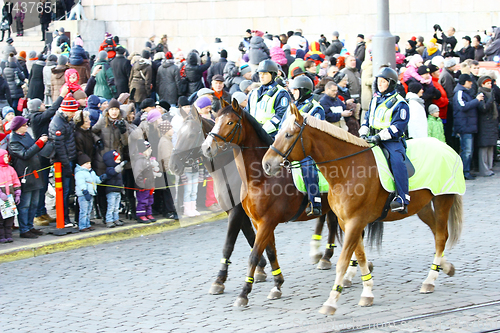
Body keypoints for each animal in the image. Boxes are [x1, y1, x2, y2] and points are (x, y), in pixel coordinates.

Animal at [170, 105, 338, 294]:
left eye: (191, 134)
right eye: (177, 132)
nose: (173, 165)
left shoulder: (238, 212)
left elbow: (230, 244)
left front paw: (220, 280)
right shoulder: (243, 213)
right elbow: (253, 238)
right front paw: (262, 269)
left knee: (332, 223)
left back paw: (326, 257)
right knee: (328, 220)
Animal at [264, 104, 462, 314]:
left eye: (288, 134)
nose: (266, 164)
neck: (348, 170)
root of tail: (446, 147)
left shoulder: (355, 221)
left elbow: (343, 262)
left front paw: (331, 301)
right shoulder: (346, 222)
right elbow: (359, 256)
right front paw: (367, 292)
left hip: (443, 200)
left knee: (441, 237)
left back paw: (430, 280)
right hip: (421, 207)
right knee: (436, 233)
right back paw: (445, 266)